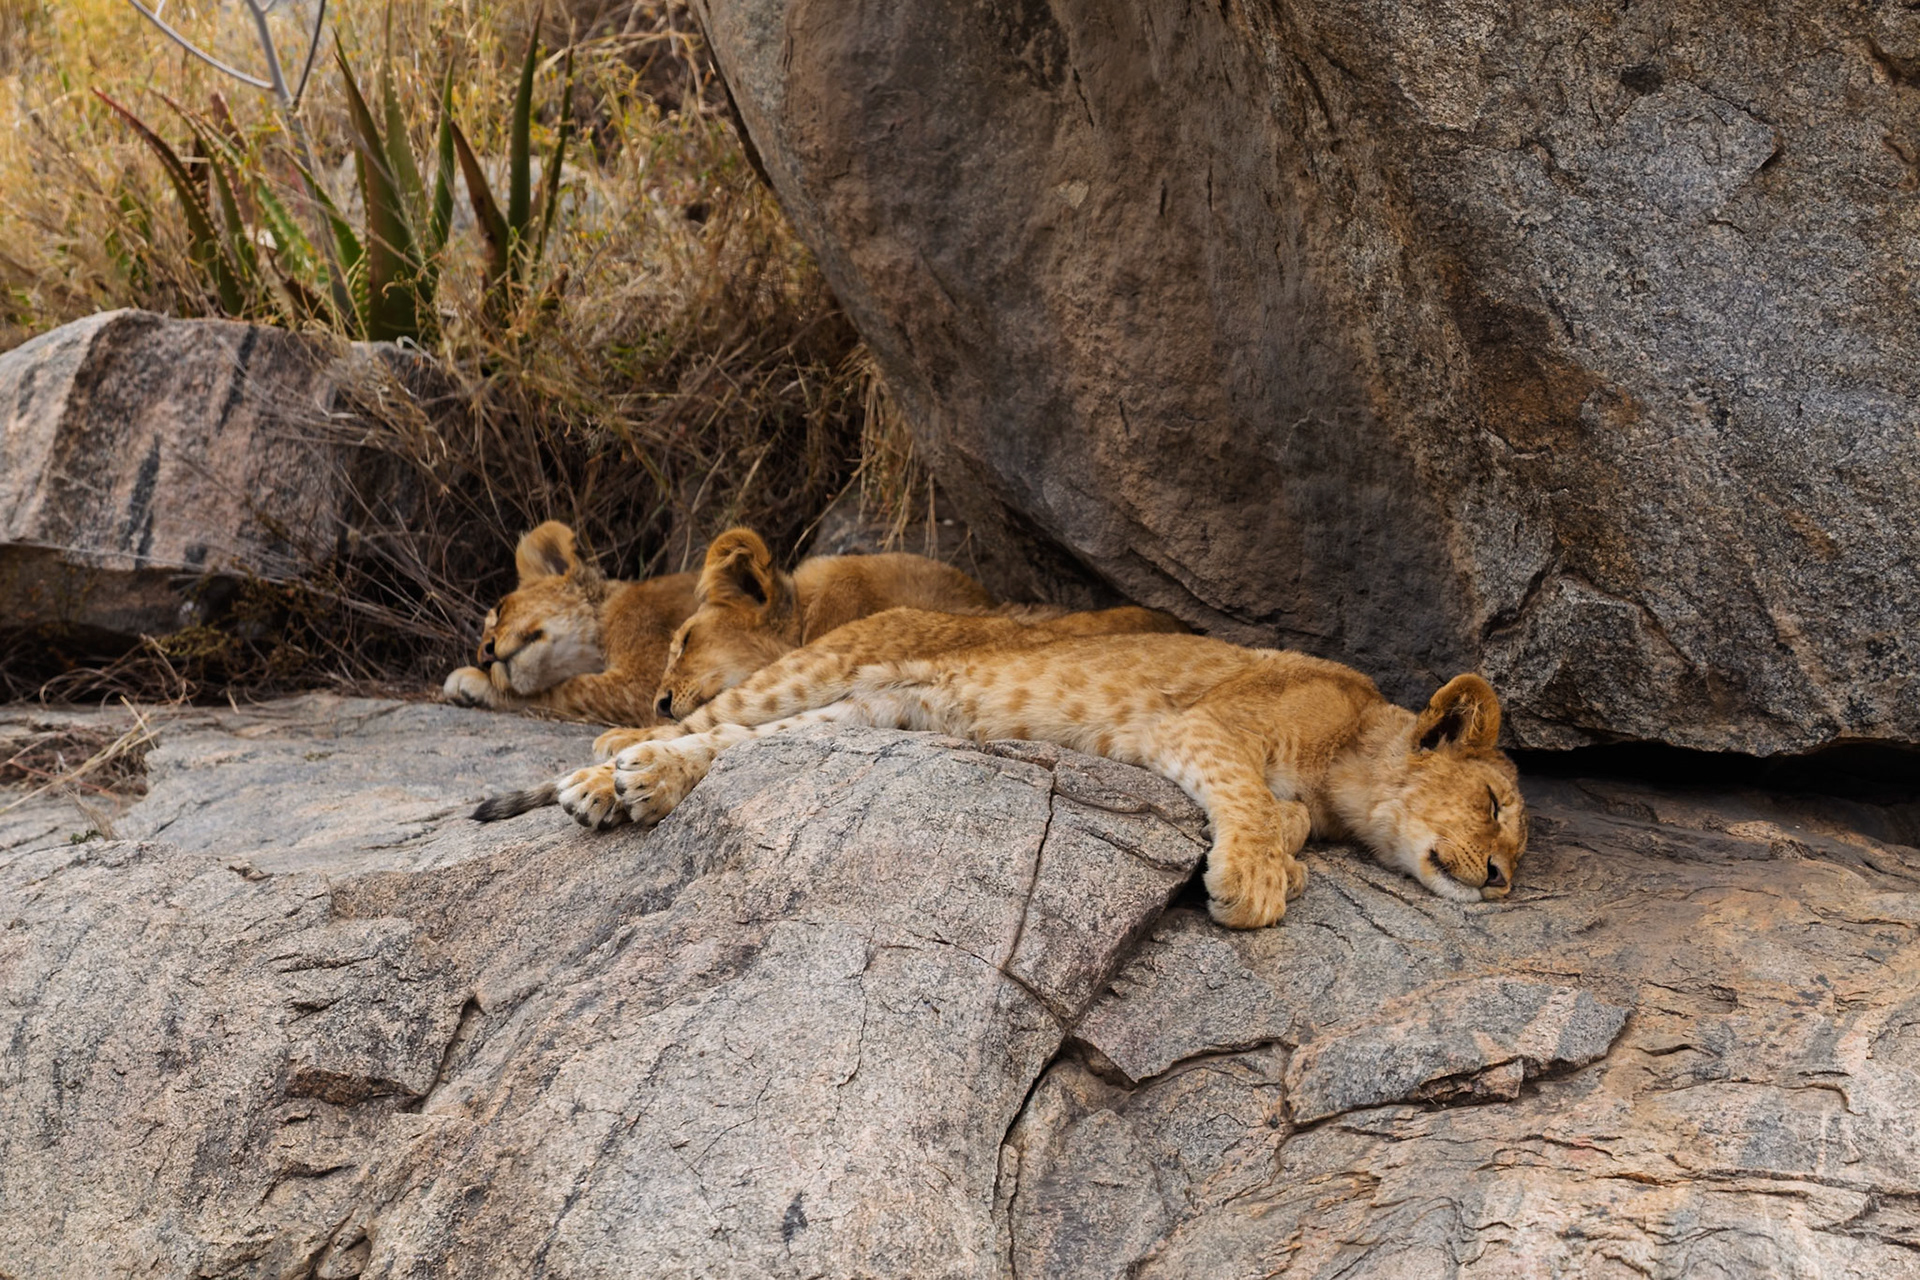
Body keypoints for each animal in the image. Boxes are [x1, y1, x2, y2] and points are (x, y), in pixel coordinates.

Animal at [559, 632, 1528, 928]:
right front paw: (1255, 883)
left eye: (1516, 845)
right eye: (1492, 805)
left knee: (741, 746)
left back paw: (633, 784)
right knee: (703, 721)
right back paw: (610, 766)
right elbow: (1250, 799)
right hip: (814, 670)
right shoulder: (1204, 726)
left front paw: (1283, 858)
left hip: (867, 718)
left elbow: (1277, 815)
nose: (1500, 881)